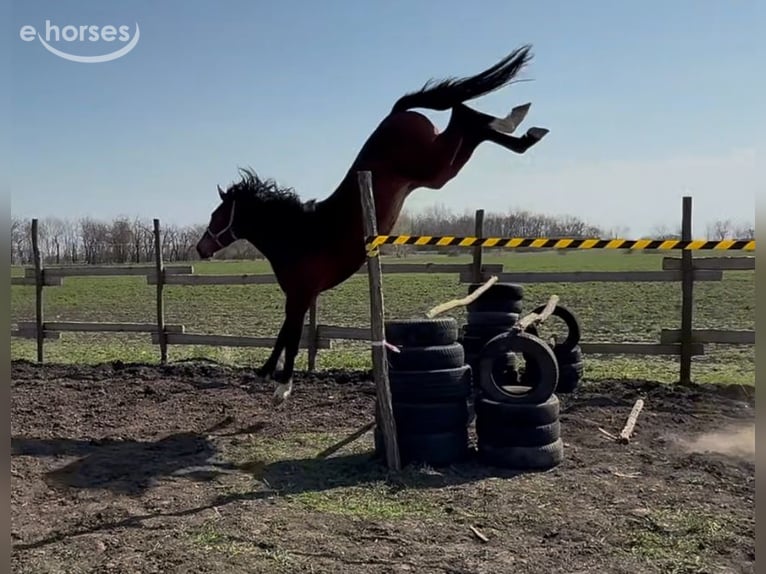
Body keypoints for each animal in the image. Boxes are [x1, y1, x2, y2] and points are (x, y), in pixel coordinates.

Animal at [195, 44, 549, 405]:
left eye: (217, 216)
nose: (200, 248)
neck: (298, 234)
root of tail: (395, 114)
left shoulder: (300, 295)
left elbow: (291, 337)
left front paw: (283, 386)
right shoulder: (300, 296)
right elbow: (283, 334)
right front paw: (268, 372)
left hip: (434, 168)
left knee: (465, 117)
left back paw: (517, 122)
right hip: (437, 171)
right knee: (469, 124)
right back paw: (525, 130)